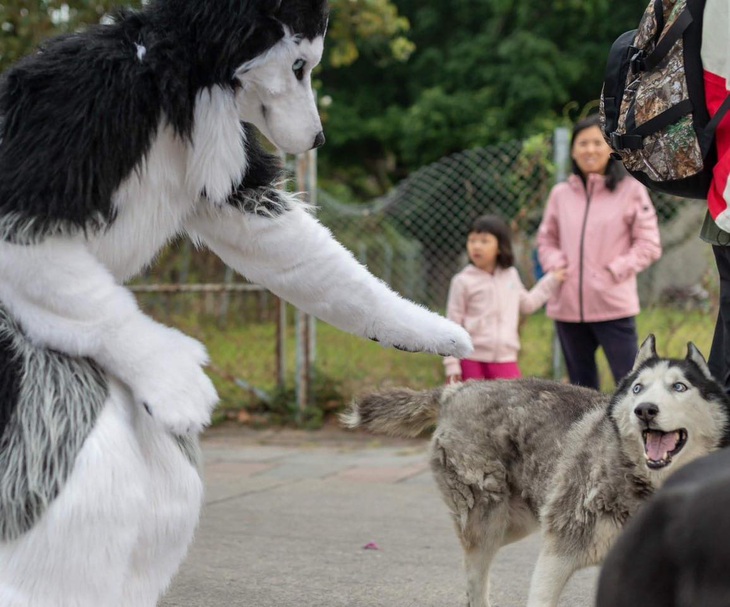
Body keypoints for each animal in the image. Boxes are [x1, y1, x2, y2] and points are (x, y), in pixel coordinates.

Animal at [342, 338, 728, 607]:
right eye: (638, 388)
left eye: (679, 387)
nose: (644, 410)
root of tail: (457, 390)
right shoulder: (558, 555)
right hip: (488, 523)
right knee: (475, 583)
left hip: (518, 523)